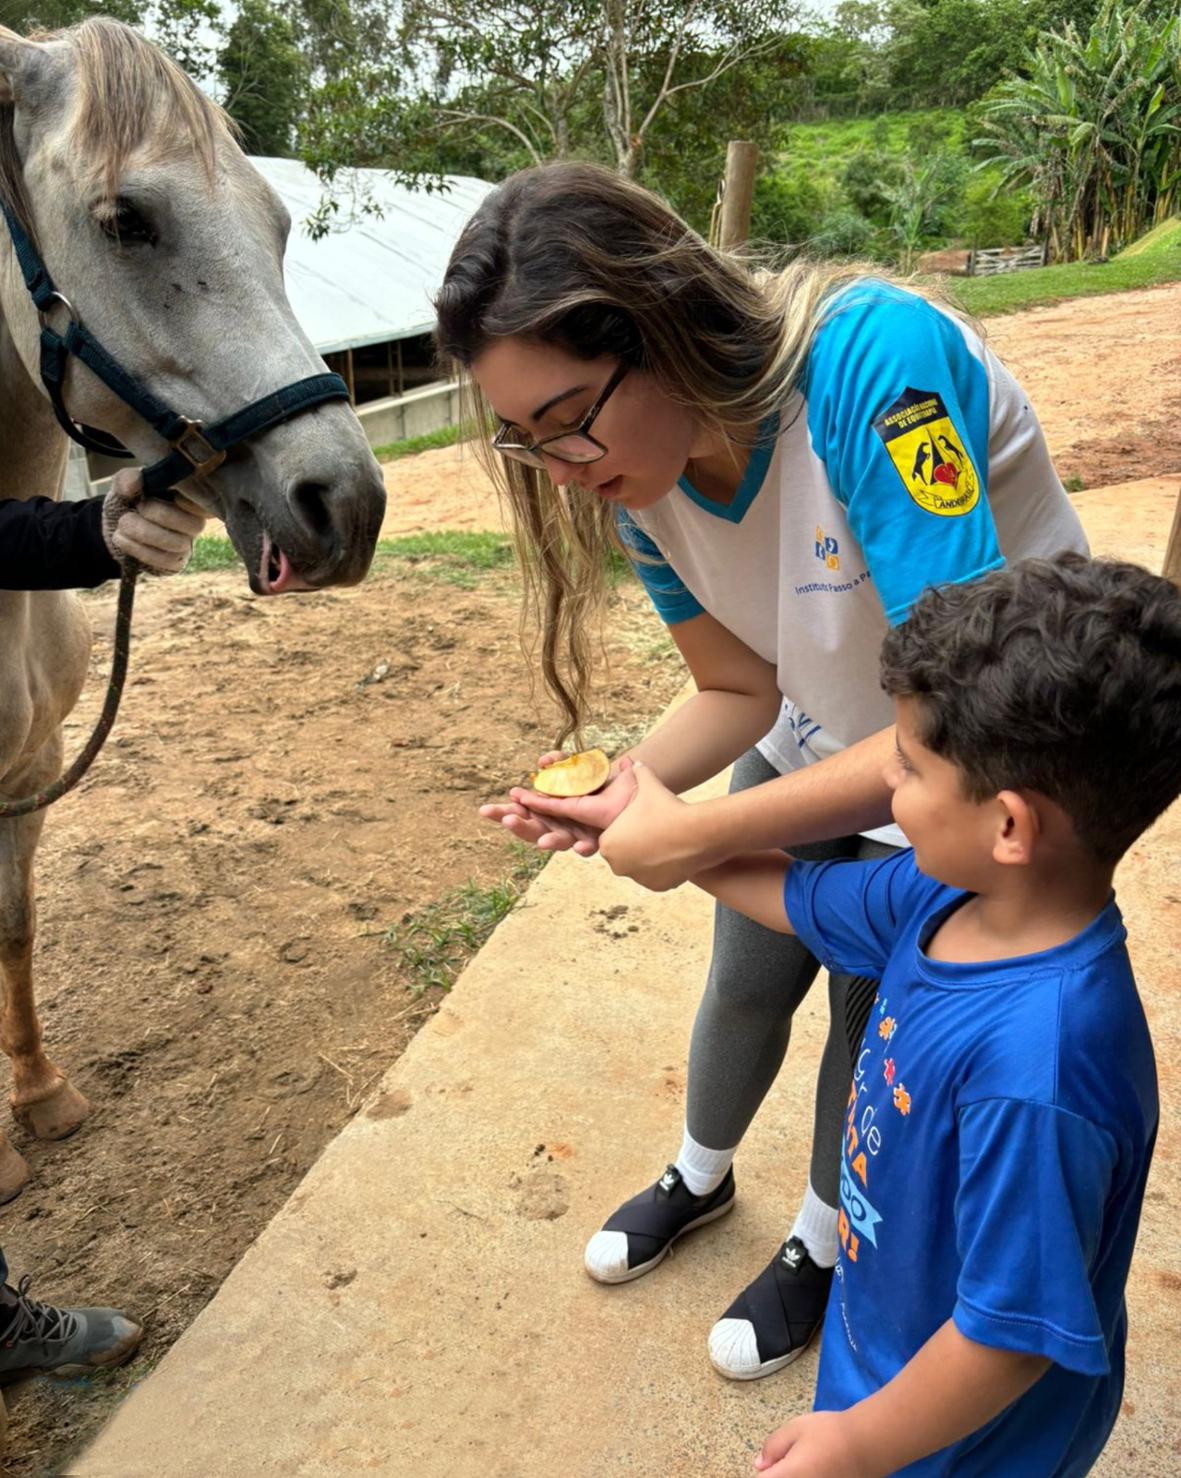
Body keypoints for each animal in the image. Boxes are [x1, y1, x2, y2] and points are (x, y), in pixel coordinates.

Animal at [0, 17, 384, 1200]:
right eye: (127, 219)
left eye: (280, 223)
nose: (346, 505)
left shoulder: (31, 774)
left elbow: (14, 927)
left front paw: (40, 1096)